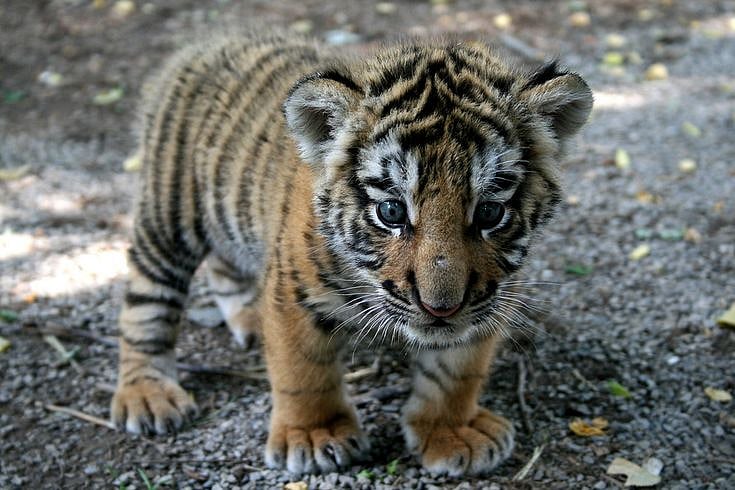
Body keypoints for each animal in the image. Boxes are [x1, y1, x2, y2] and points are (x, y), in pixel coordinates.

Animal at [110, 29, 592, 476]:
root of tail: (211, 41)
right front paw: (313, 435)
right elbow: (304, 370)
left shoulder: (489, 296)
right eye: (391, 211)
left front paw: (452, 431)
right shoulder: (294, 293)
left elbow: (457, 369)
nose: (440, 308)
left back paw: (248, 320)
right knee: (145, 304)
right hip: (168, 216)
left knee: (225, 268)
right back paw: (147, 394)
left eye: (490, 211)